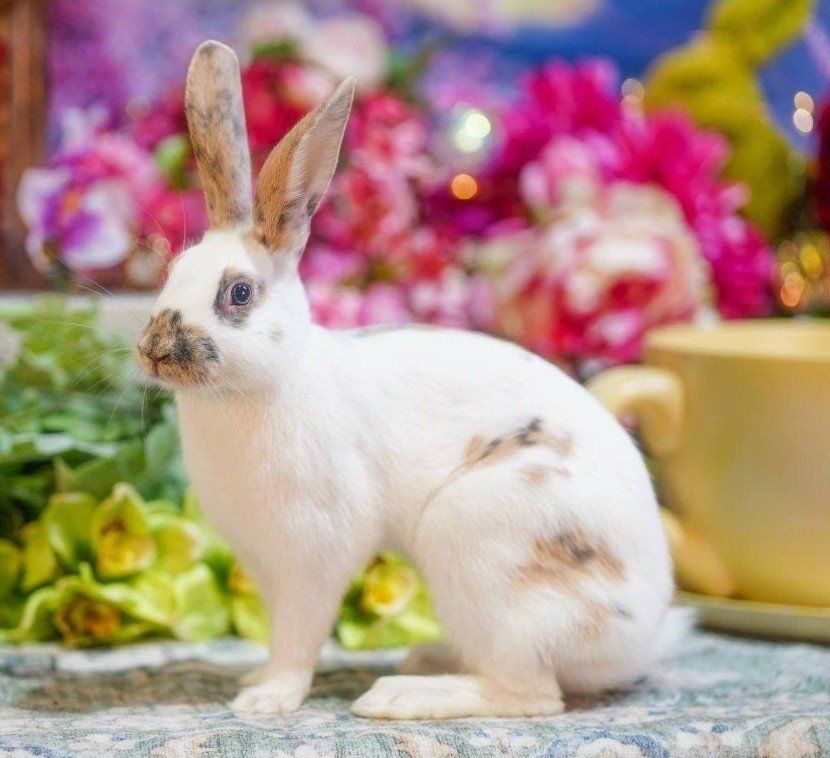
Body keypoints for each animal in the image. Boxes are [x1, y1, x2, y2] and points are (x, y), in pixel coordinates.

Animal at [135, 40, 682, 719]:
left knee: (530, 694)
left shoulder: (311, 556)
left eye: (238, 293)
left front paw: (267, 699)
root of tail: (638, 637)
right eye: (172, 270)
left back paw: (400, 695)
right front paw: (252, 678)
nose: (154, 351)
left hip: (483, 549)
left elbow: (298, 635)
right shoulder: (262, 561)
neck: (261, 387)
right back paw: (423, 660)